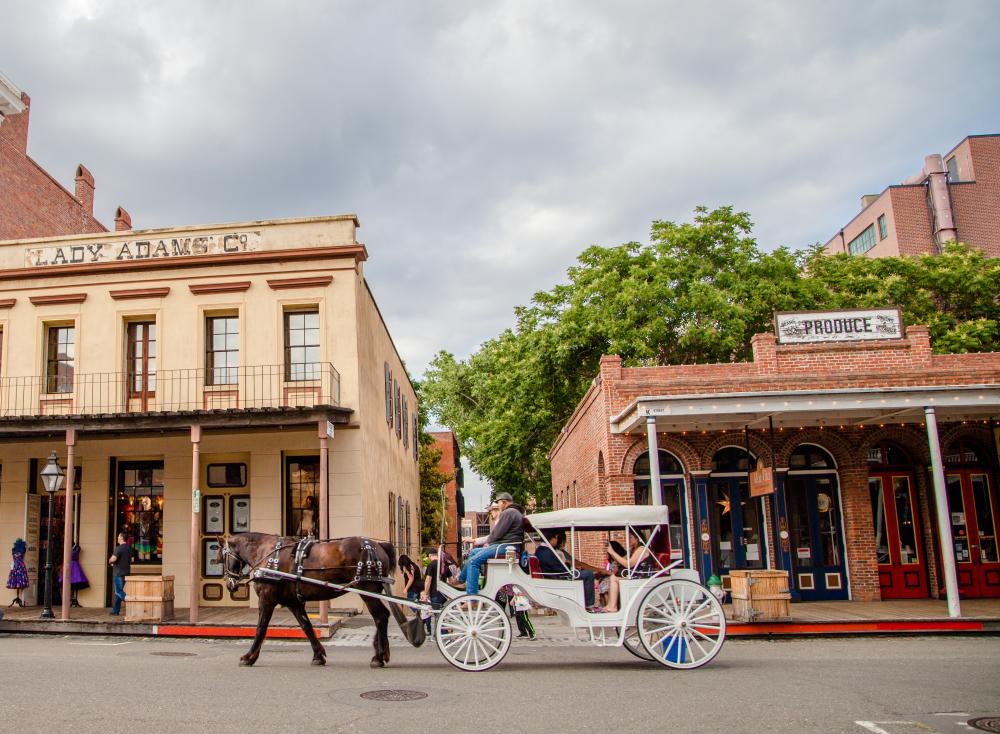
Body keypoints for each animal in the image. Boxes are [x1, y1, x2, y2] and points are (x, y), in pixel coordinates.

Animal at [217, 532, 424, 668]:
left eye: (221, 557)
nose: (230, 584)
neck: (267, 553)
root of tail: (378, 546)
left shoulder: (267, 599)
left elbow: (260, 628)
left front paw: (249, 656)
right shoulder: (294, 602)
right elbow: (307, 627)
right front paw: (318, 655)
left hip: (367, 589)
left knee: (380, 616)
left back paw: (379, 657)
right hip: (372, 590)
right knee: (383, 616)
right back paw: (380, 651)